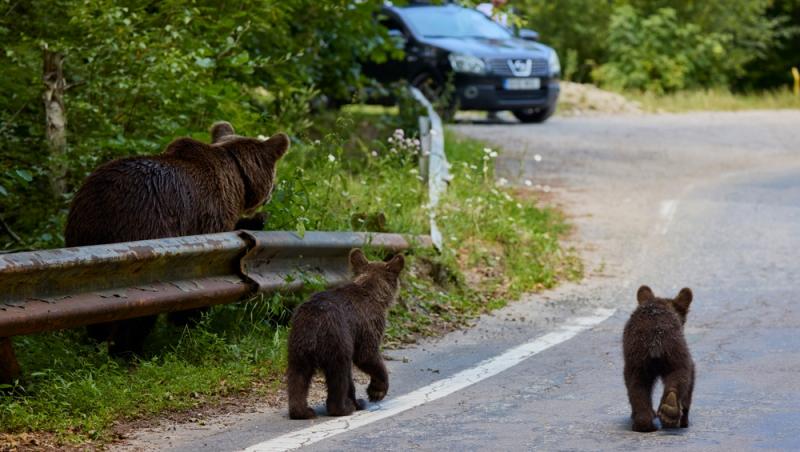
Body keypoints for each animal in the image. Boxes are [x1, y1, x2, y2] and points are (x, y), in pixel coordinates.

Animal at [65, 122, 290, 354]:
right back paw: (128, 350)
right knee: (139, 309)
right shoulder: (208, 216)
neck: (237, 179)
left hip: (84, 229)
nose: (273, 190)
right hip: (144, 229)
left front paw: (258, 219)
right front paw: (190, 321)